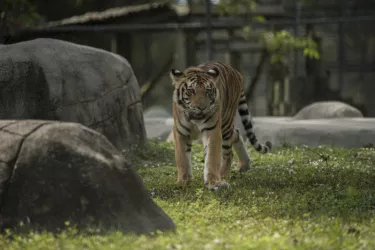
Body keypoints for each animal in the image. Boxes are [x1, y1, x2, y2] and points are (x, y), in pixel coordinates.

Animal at [170, 60, 274, 189]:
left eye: (208, 91)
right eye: (191, 91)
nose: (202, 107)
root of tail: (236, 72)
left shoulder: (212, 129)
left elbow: (212, 157)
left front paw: (214, 182)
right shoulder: (181, 132)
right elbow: (182, 159)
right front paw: (183, 181)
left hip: (225, 124)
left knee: (228, 154)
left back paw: (223, 175)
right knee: (236, 133)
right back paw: (244, 165)